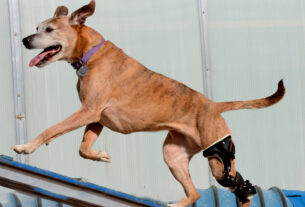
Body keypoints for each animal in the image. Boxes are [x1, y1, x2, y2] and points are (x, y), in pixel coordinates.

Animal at [13, 0, 284, 206]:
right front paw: (101, 156)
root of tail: (215, 106)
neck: (90, 54)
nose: (25, 40)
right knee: (196, 192)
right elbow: (83, 148)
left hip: (218, 155)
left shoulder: (88, 111)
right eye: (37, 27)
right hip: (174, 154)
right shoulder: (96, 118)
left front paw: (26, 147)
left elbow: (52, 129)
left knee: (243, 187)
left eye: (49, 30)